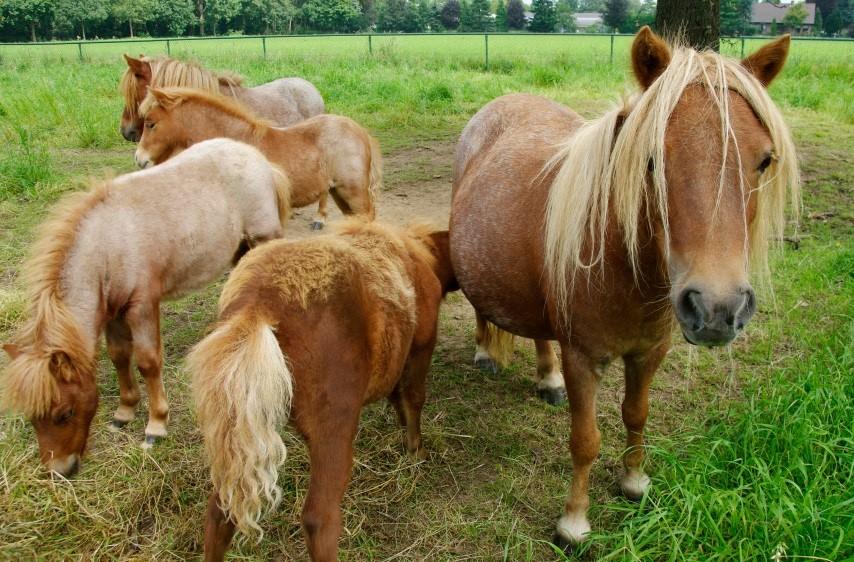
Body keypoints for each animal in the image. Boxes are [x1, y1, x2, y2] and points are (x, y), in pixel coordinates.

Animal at [0, 138, 290, 474]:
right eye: (33, 417)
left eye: (65, 413)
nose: (61, 470)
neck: (107, 245)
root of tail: (256, 157)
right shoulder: (113, 312)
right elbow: (119, 356)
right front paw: (124, 412)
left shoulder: (142, 306)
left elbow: (148, 362)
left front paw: (155, 426)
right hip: (239, 248)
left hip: (262, 238)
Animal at [185, 220, 458, 560]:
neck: (417, 252)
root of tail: (257, 306)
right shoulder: (421, 345)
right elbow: (414, 398)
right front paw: (416, 450)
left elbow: (397, 396)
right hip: (333, 429)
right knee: (319, 517)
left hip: (239, 432)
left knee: (220, 511)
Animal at [448, 27, 804, 548]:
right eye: (652, 160)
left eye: (764, 160)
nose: (717, 309)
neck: (622, 265)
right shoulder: (584, 359)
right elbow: (585, 441)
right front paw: (574, 523)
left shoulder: (649, 351)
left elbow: (637, 414)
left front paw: (634, 482)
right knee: (482, 308)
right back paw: (484, 354)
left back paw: (547, 379)